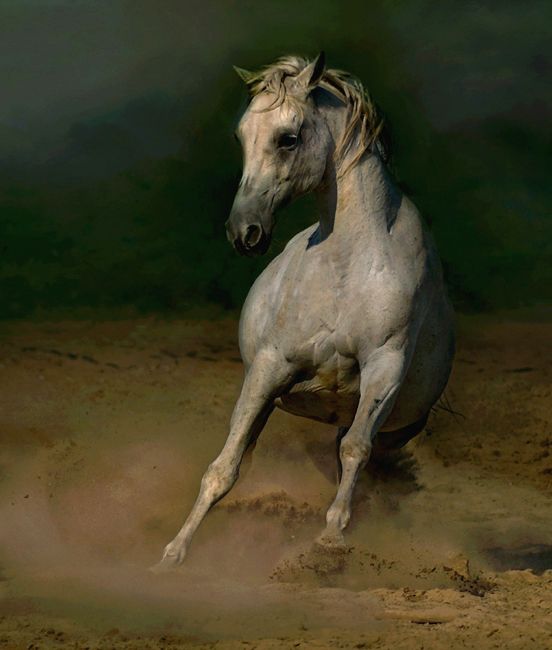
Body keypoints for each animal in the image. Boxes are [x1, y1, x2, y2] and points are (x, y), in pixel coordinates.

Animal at [153, 52, 455, 570]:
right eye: (241, 136)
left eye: (287, 137)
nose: (243, 232)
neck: (347, 267)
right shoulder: (270, 368)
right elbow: (223, 468)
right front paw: (172, 556)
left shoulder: (385, 367)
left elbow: (355, 450)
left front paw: (329, 541)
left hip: (395, 424)